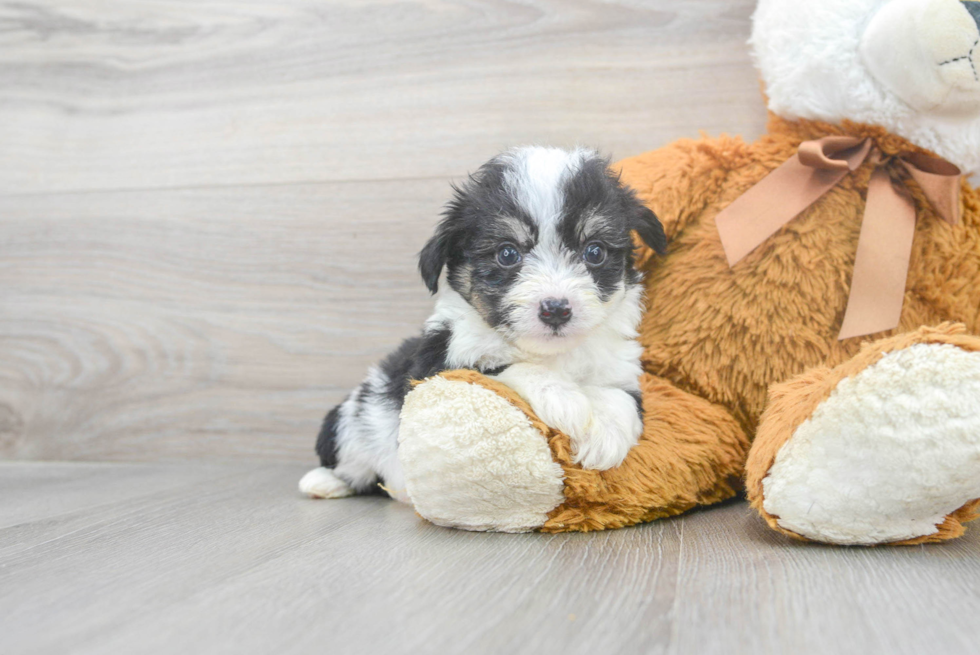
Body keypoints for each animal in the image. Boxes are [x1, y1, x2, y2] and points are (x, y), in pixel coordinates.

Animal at [298, 147, 668, 502]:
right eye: (507, 254)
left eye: (594, 252)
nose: (556, 309)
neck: (552, 354)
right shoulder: (437, 366)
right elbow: (504, 368)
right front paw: (567, 400)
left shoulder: (620, 368)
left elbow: (621, 398)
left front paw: (607, 436)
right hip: (348, 422)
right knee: (353, 466)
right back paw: (324, 482)